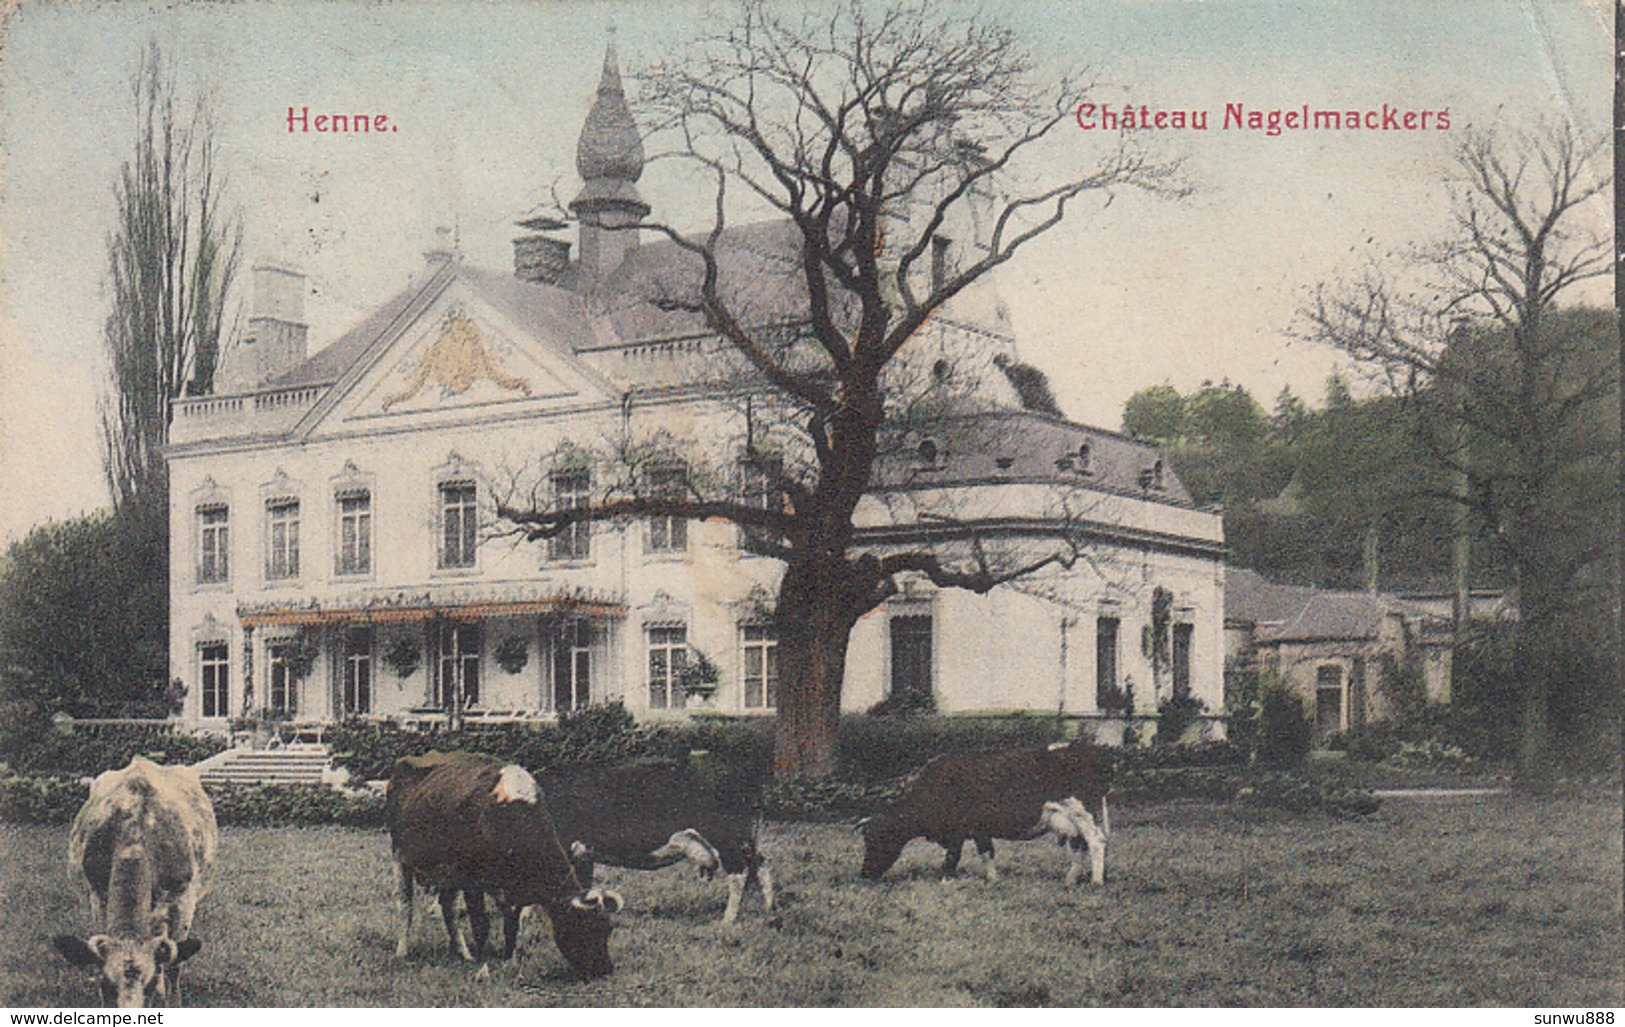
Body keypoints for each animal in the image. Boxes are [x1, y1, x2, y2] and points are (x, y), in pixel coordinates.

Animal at [53, 757, 219, 1007]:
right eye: (107, 987)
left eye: (147, 987)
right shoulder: (97, 896)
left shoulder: (183, 898)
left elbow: (175, 964)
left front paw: (171, 997)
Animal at [386, 747, 620, 981]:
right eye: (583, 928)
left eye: (608, 928)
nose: (605, 970)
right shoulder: (471, 879)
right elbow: (481, 923)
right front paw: (483, 960)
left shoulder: (512, 889)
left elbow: (511, 924)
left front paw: (508, 958)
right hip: (400, 856)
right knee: (405, 905)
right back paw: (402, 951)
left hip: (448, 872)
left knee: (448, 908)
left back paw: (462, 952)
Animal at [542, 763, 776, 923]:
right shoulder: (583, 854)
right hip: (743, 841)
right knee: (760, 864)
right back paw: (769, 911)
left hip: (727, 839)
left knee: (739, 875)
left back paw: (727, 921)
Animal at [858, 741, 1111, 884]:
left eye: (876, 840)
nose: (864, 874)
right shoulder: (979, 829)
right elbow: (987, 852)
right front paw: (991, 880)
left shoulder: (957, 831)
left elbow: (953, 856)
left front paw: (946, 880)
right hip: (1070, 822)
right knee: (1079, 846)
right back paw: (1070, 881)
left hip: (1082, 813)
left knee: (1096, 842)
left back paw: (1096, 882)